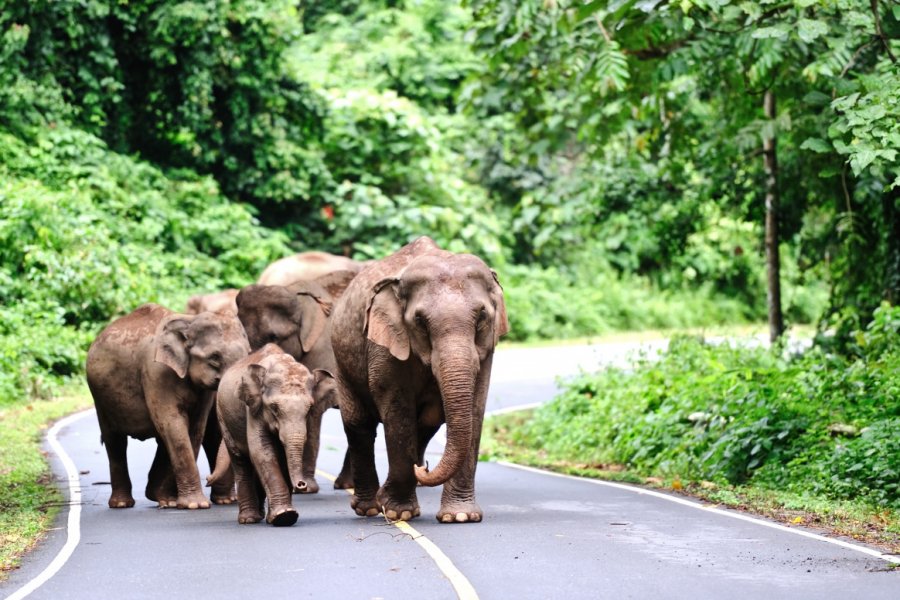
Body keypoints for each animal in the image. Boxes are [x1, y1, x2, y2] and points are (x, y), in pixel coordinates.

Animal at [85, 304, 250, 510]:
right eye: (214, 358)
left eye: (249, 353)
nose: (207, 479)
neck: (189, 320)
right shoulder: (156, 373)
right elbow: (174, 424)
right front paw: (194, 505)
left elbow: (194, 428)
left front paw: (176, 501)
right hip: (100, 398)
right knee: (115, 441)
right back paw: (123, 503)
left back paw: (163, 498)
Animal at [214, 346, 338, 524]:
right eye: (274, 408)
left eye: (309, 409)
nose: (302, 485)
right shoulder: (254, 409)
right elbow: (262, 451)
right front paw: (284, 516)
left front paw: (283, 516)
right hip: (222, 416)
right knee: (240, 461)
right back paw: (249, 519)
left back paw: (261, 516)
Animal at [234, 270, 356, 492]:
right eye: (244, 334)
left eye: (274, 336)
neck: (296, 291)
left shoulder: (325, 348)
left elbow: (314, 413)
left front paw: (306, 487)